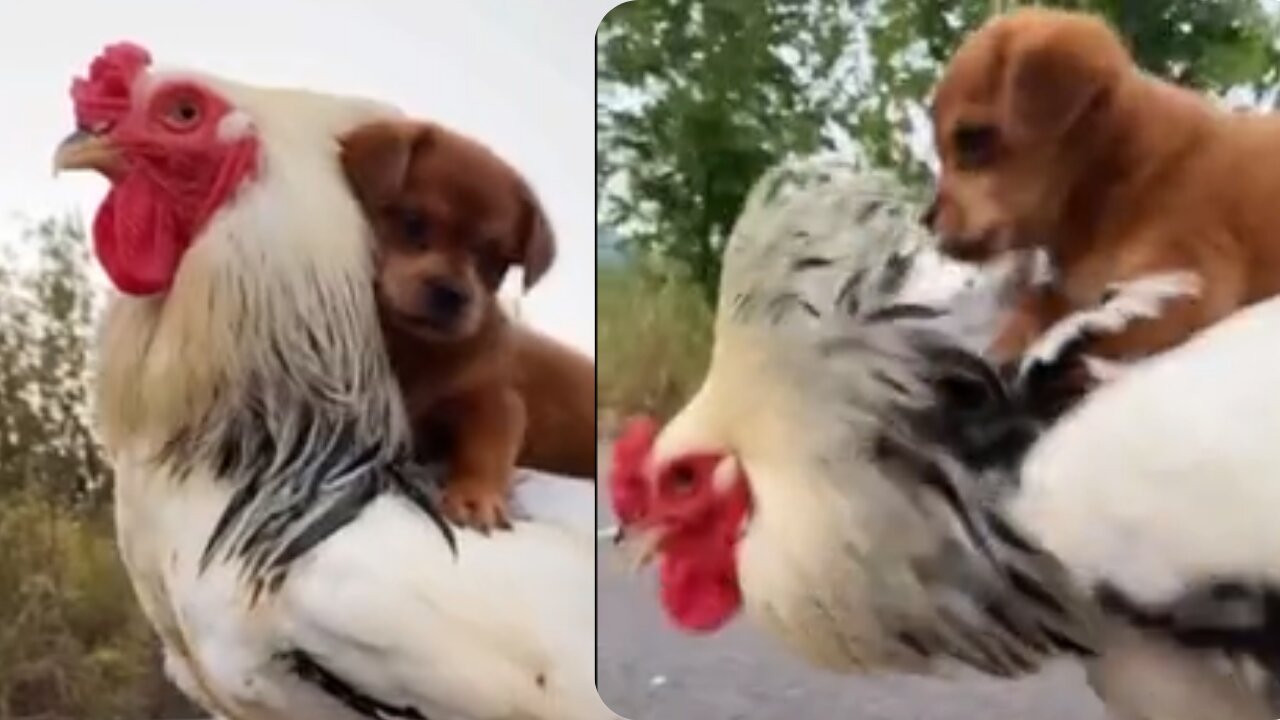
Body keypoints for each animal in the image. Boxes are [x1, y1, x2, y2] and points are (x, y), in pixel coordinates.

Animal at [340, 119, 599, 527]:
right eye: (413, 223)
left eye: (494, 259)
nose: (451, 293)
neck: (418, 349)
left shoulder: (496, 403)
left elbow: (485, 453)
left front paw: (476, 496)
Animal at [926, 9, 1280, 368]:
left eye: (972, 140)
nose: (925, 219)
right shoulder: (1077, 289)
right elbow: (1039, 299)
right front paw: (1005, 342)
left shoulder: (1185, 280)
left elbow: (1095, 331)